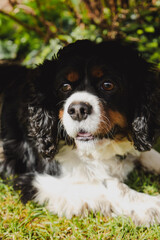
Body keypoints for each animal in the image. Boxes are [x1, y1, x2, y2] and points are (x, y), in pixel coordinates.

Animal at [0, 39, 160, 225]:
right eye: (64, 86)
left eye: (108, 85)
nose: (77, 110)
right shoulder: (37, 180)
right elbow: (112, 185)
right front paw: (151, 205)